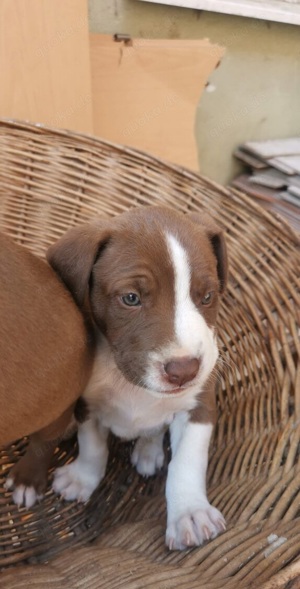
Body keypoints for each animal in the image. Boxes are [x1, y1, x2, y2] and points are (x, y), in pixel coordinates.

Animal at [48, 204, 229, 548]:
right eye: (131, 298)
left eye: (207, 297)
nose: (185, 370)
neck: (129, 382)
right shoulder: (86, 405)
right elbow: (92, 446)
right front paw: (82, 478)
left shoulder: (200, 406)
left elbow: (186, 462)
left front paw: (190, 512)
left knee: (155, 430)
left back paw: (148, 451)